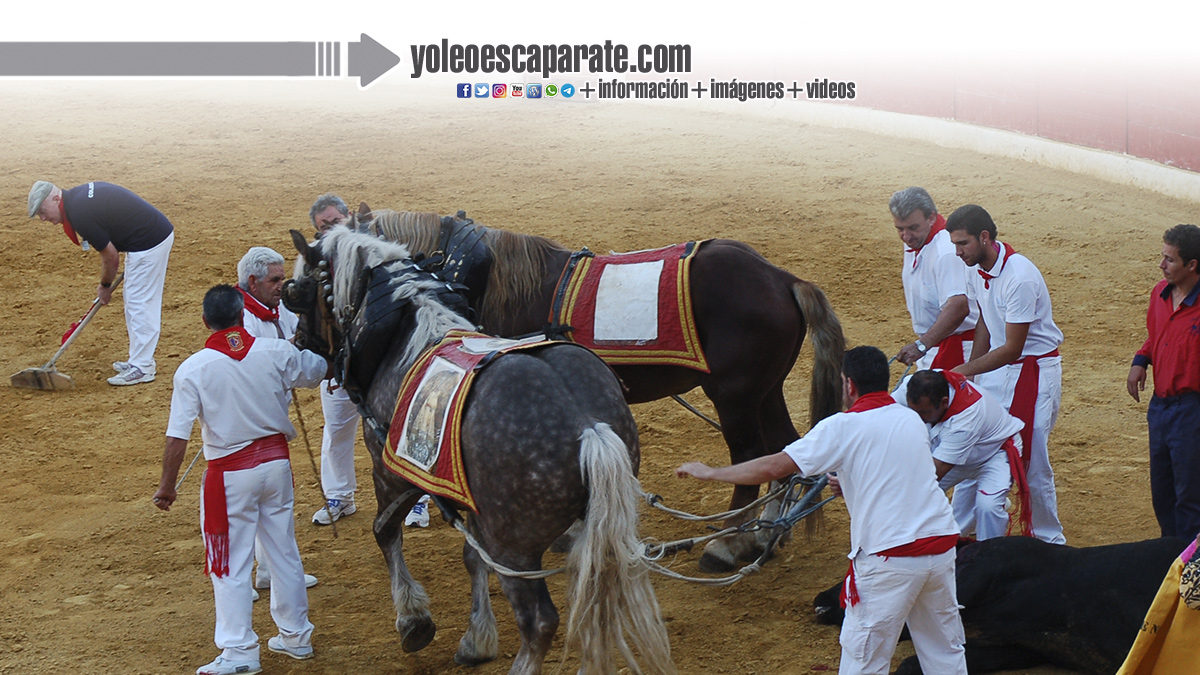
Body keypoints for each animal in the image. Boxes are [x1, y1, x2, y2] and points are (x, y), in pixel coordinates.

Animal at [284, 226, 675, 675]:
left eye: (298, 289)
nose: (298, 340)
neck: (404, 329)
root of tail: (588, 427)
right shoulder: (466, 496)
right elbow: (473, 557)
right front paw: (477, 638)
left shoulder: (393, 468)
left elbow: (385, 532)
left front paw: (413, 619)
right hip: (587, 533)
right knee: (594, 605)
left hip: (515, 549)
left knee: (539, 622)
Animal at [353, 206, 846, 571]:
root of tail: (783, 279)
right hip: (765, 390)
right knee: (784, 448)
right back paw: (765, 535)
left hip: (734, 393)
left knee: (749, 454)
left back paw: (727, 546)